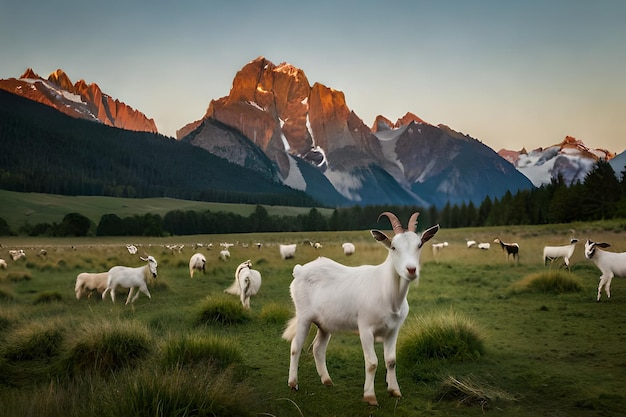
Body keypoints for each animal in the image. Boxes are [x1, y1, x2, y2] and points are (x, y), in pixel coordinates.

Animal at [280, 211, 436, 404]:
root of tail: (300, 270)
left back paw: (327, 380)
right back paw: (293, 383)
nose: (411, 270)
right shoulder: (366, 328)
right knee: (296, 346)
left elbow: (391, 361)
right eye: (393, 247)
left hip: (325, 323)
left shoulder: (393, 330)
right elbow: (372, 362)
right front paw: (370, 397)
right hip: (303, 316)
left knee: (318, 348)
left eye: (419, 245)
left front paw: (395, 391)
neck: (387, 291)